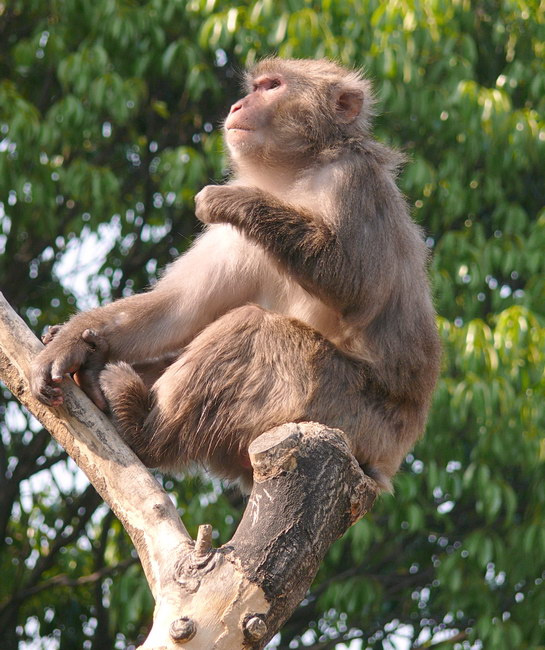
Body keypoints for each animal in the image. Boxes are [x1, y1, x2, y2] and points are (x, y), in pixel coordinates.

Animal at [31, 58, 441, 492]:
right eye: (255, 86)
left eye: (272, 86)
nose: (237, 105)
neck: (298, 172)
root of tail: (384, 463)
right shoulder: (235, 235)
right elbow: (178, 308)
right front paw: (70, 342)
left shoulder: (352, 178)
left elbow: (358, 288)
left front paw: (234, 199)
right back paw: (96, 372)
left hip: (347, 414)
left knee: (254, 329)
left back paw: (141, 430)